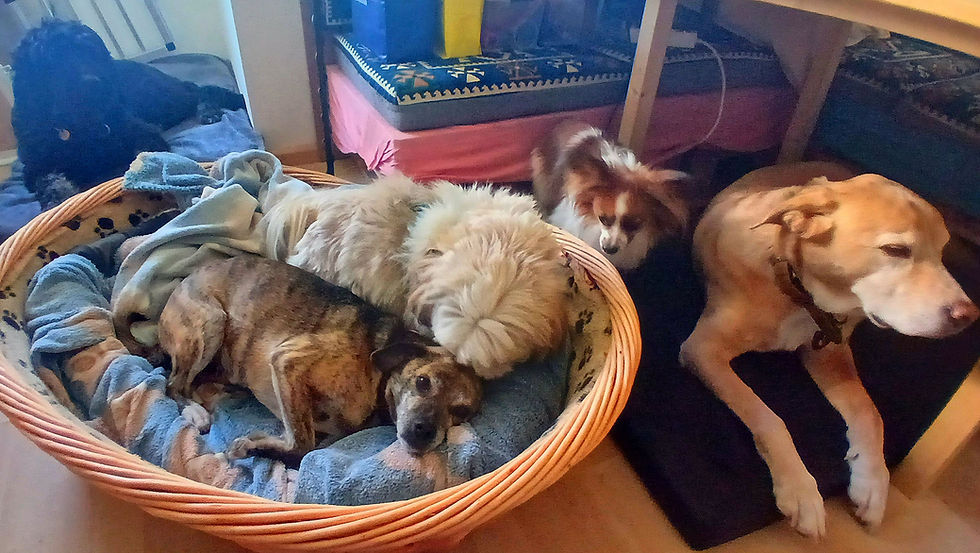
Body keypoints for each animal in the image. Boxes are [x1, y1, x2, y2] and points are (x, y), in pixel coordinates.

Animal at [11, 20, 245, 209]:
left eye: (89, 52)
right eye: (52, 62)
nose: (94, 84)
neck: (80, 126)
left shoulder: (145, 135)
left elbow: (134, 160)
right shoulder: (34, 168)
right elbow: (49, 180)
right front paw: (58, 198)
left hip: (160, 98)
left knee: (200, 90)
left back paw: (209, 110)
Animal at [158, 255, 483, 460]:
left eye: (461, 412)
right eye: (423, 381)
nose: (425, 431)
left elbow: (309, 448)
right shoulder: (287, 359)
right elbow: (302, 444)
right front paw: (250, 447)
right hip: (211, 322)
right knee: (172, 384)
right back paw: (195, 412)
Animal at [679, 162, 979, 538]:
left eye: (941, 252)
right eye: (896, 250)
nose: (968, 315)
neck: (799, 290)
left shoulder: (829, 354)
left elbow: (870, 413)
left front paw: (872, 483)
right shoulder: (703, 349)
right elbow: (767, 416)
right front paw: (801, 490)